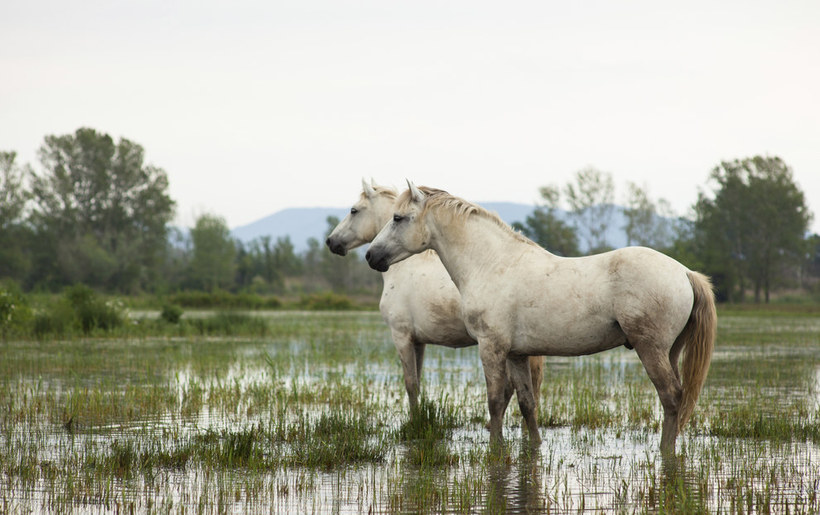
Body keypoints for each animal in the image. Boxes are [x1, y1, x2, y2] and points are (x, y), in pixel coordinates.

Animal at [326, 179, 544, 418]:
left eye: (354, 210)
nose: (331, 241)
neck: (405, 267)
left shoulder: (401, 336)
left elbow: (410, 384)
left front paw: (414, 421)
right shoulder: (418, 341)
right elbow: (418, 382)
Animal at [368, 182, 716, 456]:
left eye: (398, 218)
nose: (372, 256)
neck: (492, 264)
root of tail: (685, 273)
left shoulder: (491, 347)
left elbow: (495, 401)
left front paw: (495, 449)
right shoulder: (517, 354)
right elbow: (526, 403)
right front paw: (533, 446)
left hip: (651, 349)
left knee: (671, 397)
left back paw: (665, 451)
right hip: (670, 351)